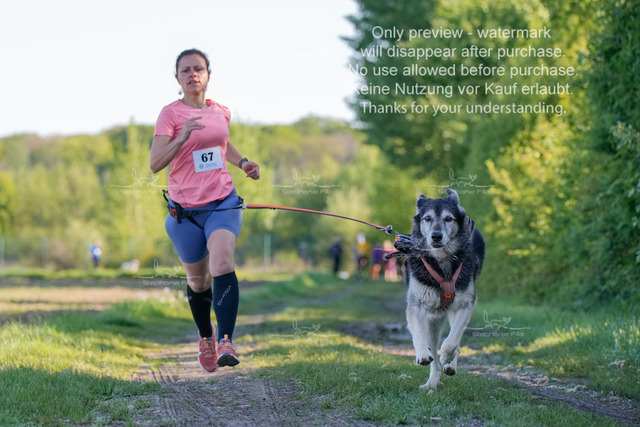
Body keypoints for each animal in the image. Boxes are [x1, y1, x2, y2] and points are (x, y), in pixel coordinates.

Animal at [403, 188, 485, 390]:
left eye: (449, 219)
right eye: (427, 218)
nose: (436, 236)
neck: (441, 259)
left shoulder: (465, 305)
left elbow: (452, 341)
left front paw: (447, 356)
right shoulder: (416, 306)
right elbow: (419, 332)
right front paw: (422, 354)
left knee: (456, 341)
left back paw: (450, 364)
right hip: (432, 323)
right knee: (434, 357)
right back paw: (431, 383)